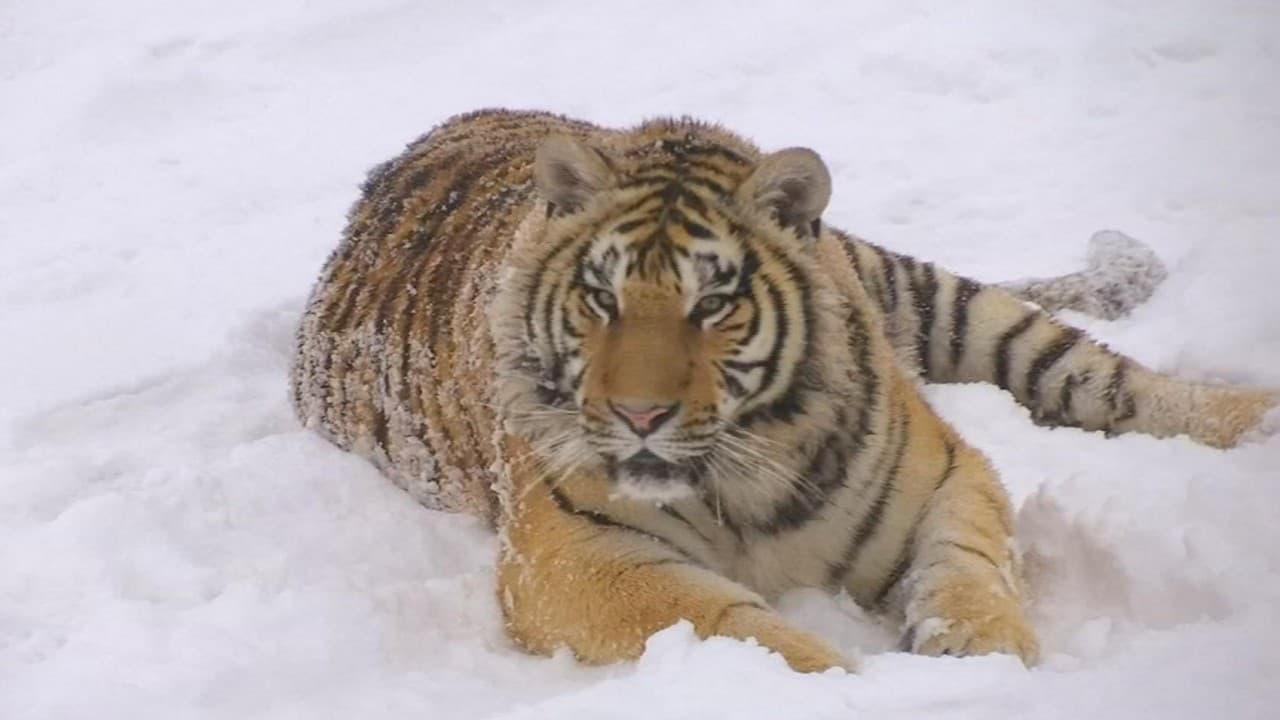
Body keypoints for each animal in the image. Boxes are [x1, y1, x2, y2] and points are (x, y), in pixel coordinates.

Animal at [291, 109, 1276, 672]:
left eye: (712, 304)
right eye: (602, 298)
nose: (638, 416)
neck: (743, 479)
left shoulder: (947, 474)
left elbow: (969, 566)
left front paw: (981, 654)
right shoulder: (571, 559)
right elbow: (737, 627)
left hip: (945, 301)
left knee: (1105, 380)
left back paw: (1256, 418)